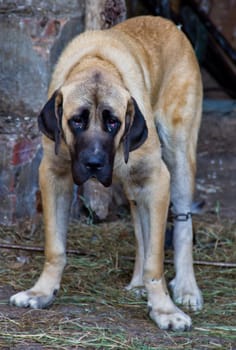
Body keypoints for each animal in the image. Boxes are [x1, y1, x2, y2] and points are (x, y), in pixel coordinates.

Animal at [10, 16, 203, 330]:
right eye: (76, 121)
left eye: (113, 122)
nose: (94, 163)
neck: (96, 64)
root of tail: (170, 24)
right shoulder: (53, 174)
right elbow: (55, 248)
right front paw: (41, 292)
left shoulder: (157, 178)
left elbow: (156, 261)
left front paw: (164, 310)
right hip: (135, 182)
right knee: (140, 227)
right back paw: (139, 283)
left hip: (179, 153)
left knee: (183, 221)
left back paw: (186, 288)